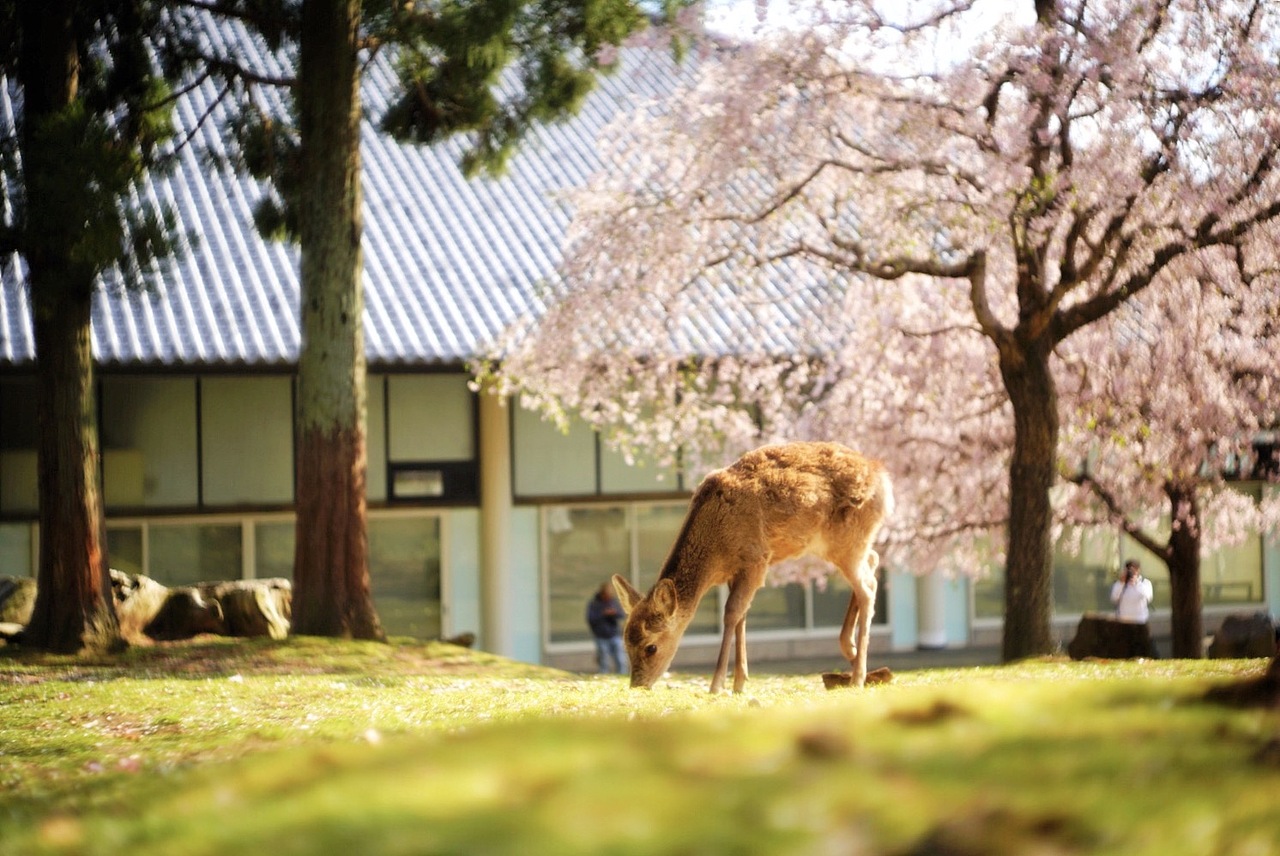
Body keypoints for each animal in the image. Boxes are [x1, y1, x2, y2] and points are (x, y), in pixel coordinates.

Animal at [612, 441, 894, 694]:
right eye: (625, 643)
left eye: (651, 647)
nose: (637, 685)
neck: (717, 552)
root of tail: (884, 479)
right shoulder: (736, 571)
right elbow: (742, 617)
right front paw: (739, 683)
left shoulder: (756, 559)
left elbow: (731, 614)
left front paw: (717, 685)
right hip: (846, 544)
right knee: (872, 562)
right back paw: (851, 650)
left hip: (848, 539)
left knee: (868, 586)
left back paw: (857, 676)